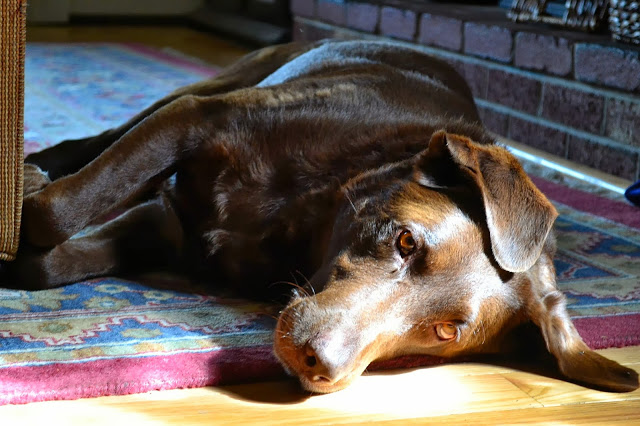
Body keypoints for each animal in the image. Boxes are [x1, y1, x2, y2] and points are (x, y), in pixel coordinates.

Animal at [12, 39, 639, 394]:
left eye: (446, 332)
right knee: (100, 139)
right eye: (406, 242)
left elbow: (48, 263)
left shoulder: (170, 228)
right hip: (213, 84)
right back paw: (37, 162)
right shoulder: (195, 122)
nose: (318, 364)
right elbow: (54, 211)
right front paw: (27, 200)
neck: (303, 221)